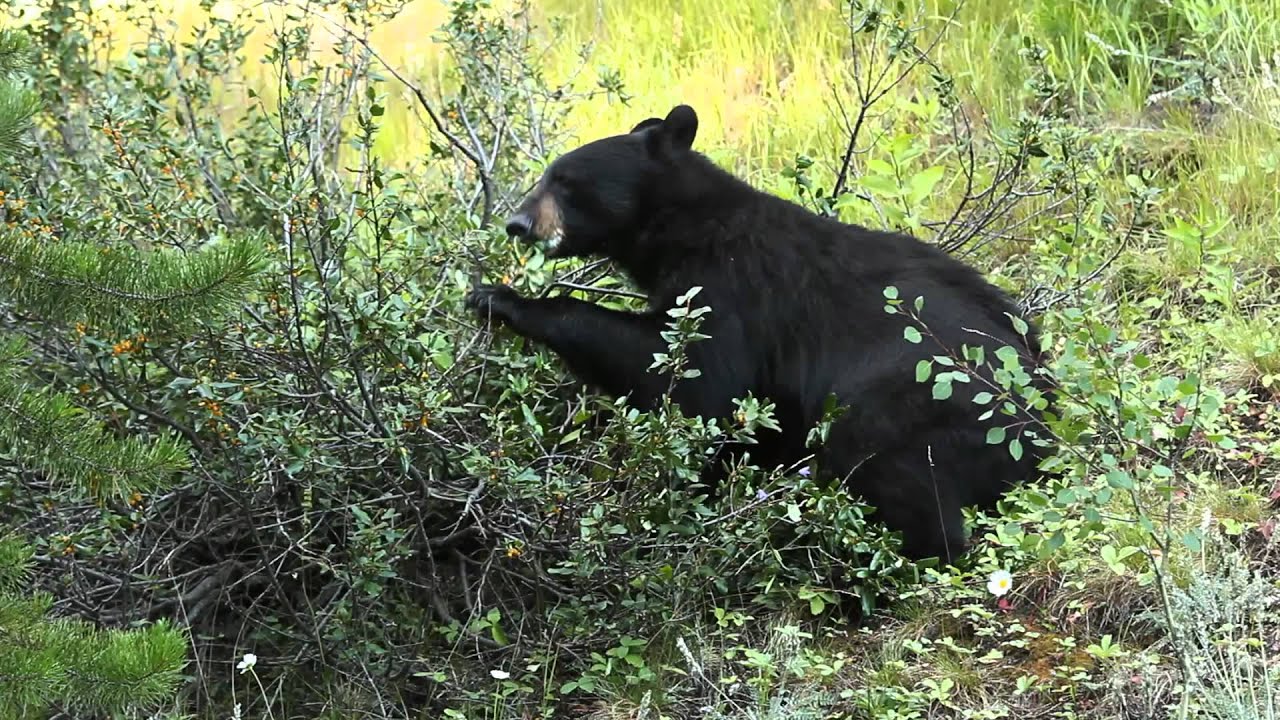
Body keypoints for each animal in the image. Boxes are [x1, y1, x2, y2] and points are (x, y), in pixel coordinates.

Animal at [465, 105, 1054, 561]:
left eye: (563, 181)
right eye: (548, 177)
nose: (517, 223)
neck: (687, 228)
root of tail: (1049, 434)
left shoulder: (732, 286)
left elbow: (697, 378)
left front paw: (503, 299)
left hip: (929, 408)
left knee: (892, 471)